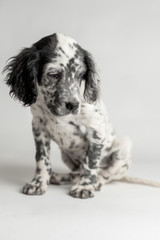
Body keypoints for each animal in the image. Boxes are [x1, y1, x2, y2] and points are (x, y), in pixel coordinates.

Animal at [4, 33, 160, 199]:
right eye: (54, 75)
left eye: (80, 75)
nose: (73, 105)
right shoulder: (38, 126)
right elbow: (42, 159)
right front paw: (38, 183)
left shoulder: (96, 129)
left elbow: (90, 163)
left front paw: (84, 186)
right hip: (65, 155)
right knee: (76, 172)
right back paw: (58, 177)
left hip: (124, 145)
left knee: (106, 174)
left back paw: (96, 182)